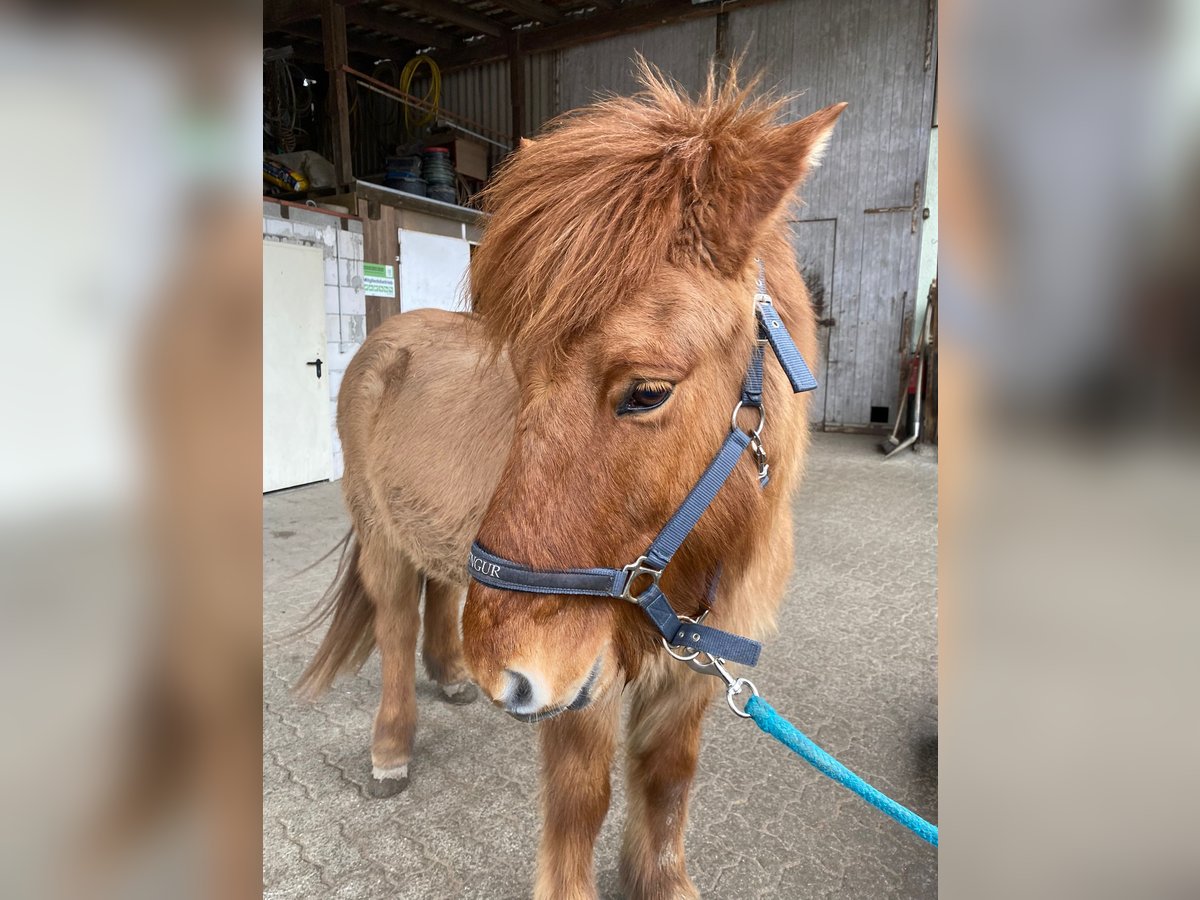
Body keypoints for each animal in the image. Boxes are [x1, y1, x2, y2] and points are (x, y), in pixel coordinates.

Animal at [300, 72, 844, 900]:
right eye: (518, 374)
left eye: (648, 391)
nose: (505, 674)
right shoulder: (580, 684)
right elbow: (581, 797)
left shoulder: (689, 676)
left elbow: (669, 778)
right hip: (382, 540)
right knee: (394, 624)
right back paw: (392, 747)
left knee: (441, 592)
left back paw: (451, 676)